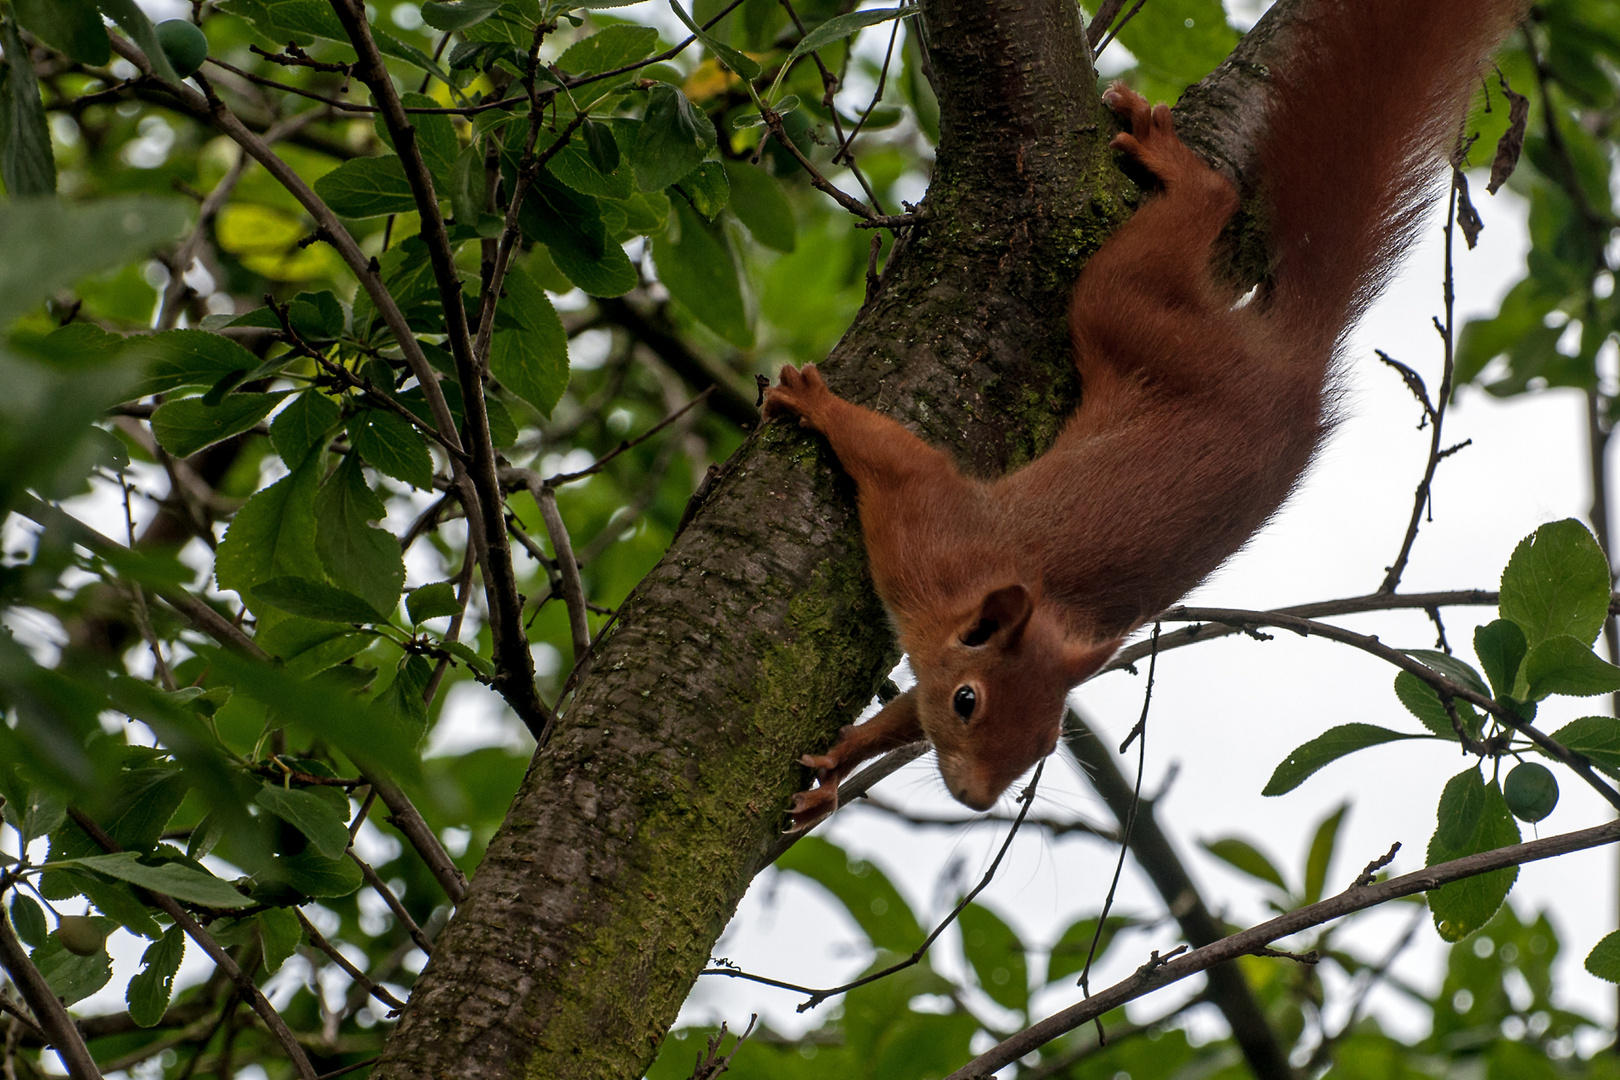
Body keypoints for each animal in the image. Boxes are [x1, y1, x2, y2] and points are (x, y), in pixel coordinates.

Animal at [764, 0, 1522, 835]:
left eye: (1044, 744)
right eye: (967, 703)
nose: (976, 799)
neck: (977, 592)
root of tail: (1300, 357)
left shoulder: (935, 575)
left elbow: (898, 487)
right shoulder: (934, 554)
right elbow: (899, 485)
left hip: (1137, 319)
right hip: (1140, 316)